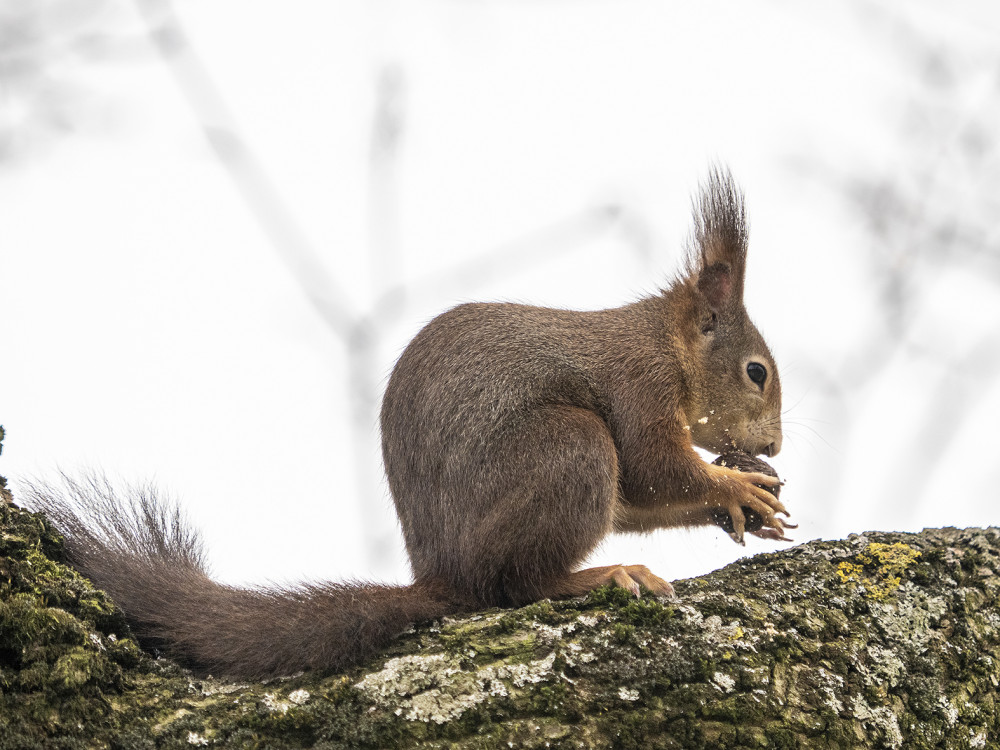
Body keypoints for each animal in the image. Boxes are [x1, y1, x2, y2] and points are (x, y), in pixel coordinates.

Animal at [21, 169, 788, 680]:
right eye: (757, 372)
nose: (776, 444)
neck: (668, 347)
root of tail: (440, 572)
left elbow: (642, 497)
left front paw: (748, 500)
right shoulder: (638, 387)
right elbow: (655, 468)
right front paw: (735, 487)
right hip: (569, 447)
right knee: (513, 586)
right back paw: (601, 574)